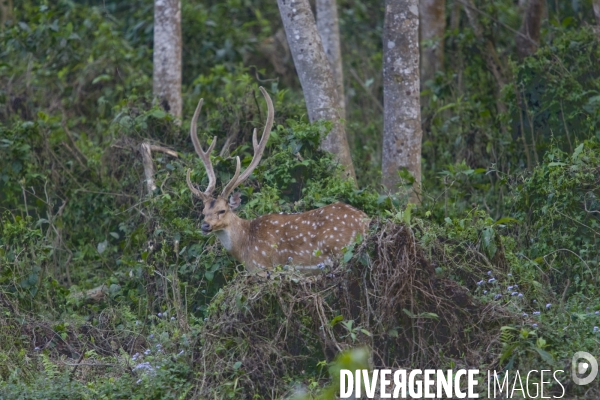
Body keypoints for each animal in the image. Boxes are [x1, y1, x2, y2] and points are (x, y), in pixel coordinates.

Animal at [185, 86, 370, 276]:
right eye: (203, 211)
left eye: (222, 210)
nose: (205, 226)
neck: (245, 247)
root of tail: (366, 221)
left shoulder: (263, 267)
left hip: (340, 250)